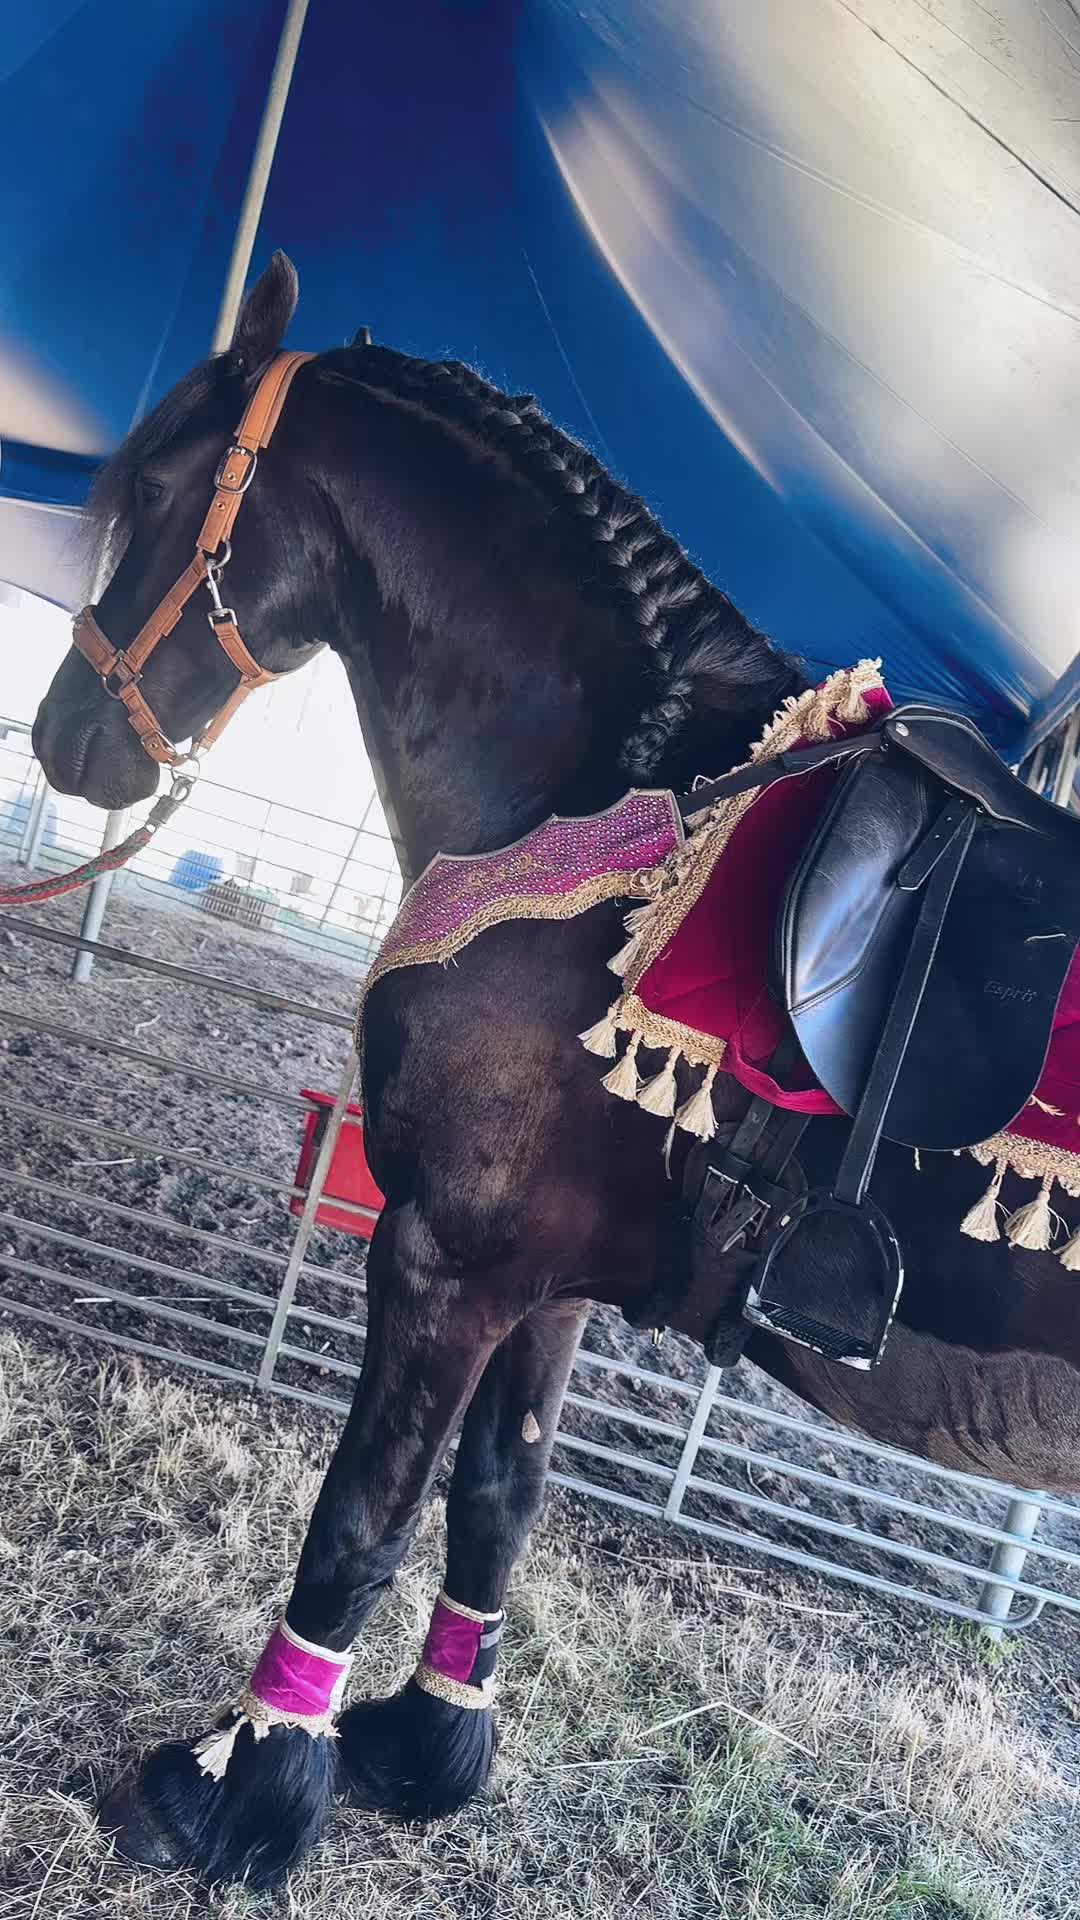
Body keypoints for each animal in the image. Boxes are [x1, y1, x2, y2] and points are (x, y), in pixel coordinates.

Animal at [30, 252, 1080, 1889]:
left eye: (152, 494)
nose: (68, 737)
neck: (615, 793)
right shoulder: (548, 1281)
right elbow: (496, 1500)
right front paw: (424, 1745)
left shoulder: (446, 1258)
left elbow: (363, 1517)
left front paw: (238, 1788)